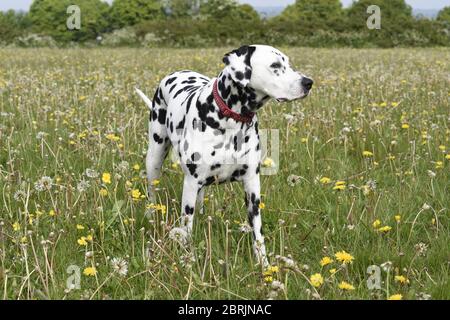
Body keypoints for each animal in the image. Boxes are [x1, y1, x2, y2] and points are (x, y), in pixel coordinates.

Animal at [137, 43, 312, 266]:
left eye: (288, 63)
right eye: (275, 65)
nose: (309, 82)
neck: (232, 121)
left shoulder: (252, 186)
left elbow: (258, 234)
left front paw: (264, 265)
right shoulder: (190, 183)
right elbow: (186, 228)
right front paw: (188, 260)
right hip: (155, 158)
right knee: (152, 191)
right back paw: (150, 214)